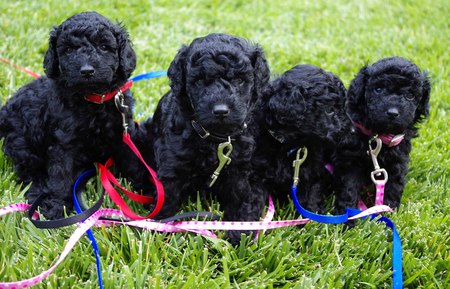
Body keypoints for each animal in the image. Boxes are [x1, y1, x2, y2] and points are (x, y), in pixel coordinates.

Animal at [0, 11, 137, 218]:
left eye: (104, 47)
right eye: (70, 49)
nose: (87, 71)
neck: (92, 100)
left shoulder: (122, 130)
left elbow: (131, 159)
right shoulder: (64, 141)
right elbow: (60, 174)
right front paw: (56, 206)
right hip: (22, 142)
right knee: (30, 171)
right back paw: (37, 195)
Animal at [137, 32, 268, 243]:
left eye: (240, 80)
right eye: (199, 81)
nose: (221, 110)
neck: (215, 138)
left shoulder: (241, 169)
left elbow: (242, 197)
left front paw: (239, 233)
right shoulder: (173, 162)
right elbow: (168, 195)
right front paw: (159, 227)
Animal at [251, 64, 350, 214]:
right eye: (329, 110)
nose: (352, 130)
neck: (290, 144)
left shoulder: (312, 172)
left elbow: (311, 196)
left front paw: (313, 216)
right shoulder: (257, 173)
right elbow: (254, 199)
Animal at [332, 55, 430, 212]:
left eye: (410, 95)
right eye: (378, 89)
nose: (392, 113)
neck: (378, 135)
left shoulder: (398, 161)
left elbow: (394, 186)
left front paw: (387, 211)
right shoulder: (349, 160)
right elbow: (348, 188)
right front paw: (346, 214)